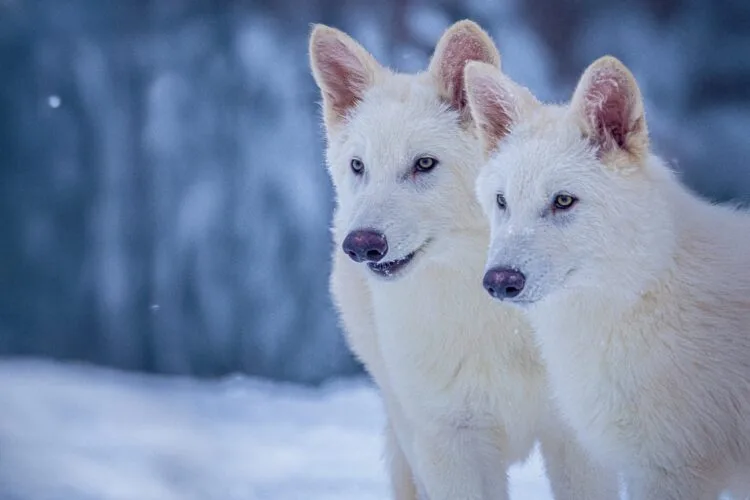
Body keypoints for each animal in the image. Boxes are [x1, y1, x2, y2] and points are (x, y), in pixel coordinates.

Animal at [308, 20, 617, 500]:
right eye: (359, 166)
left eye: (424, 164)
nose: (361, 244)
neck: (491, 317)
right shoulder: (447, 444)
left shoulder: (577, 441)